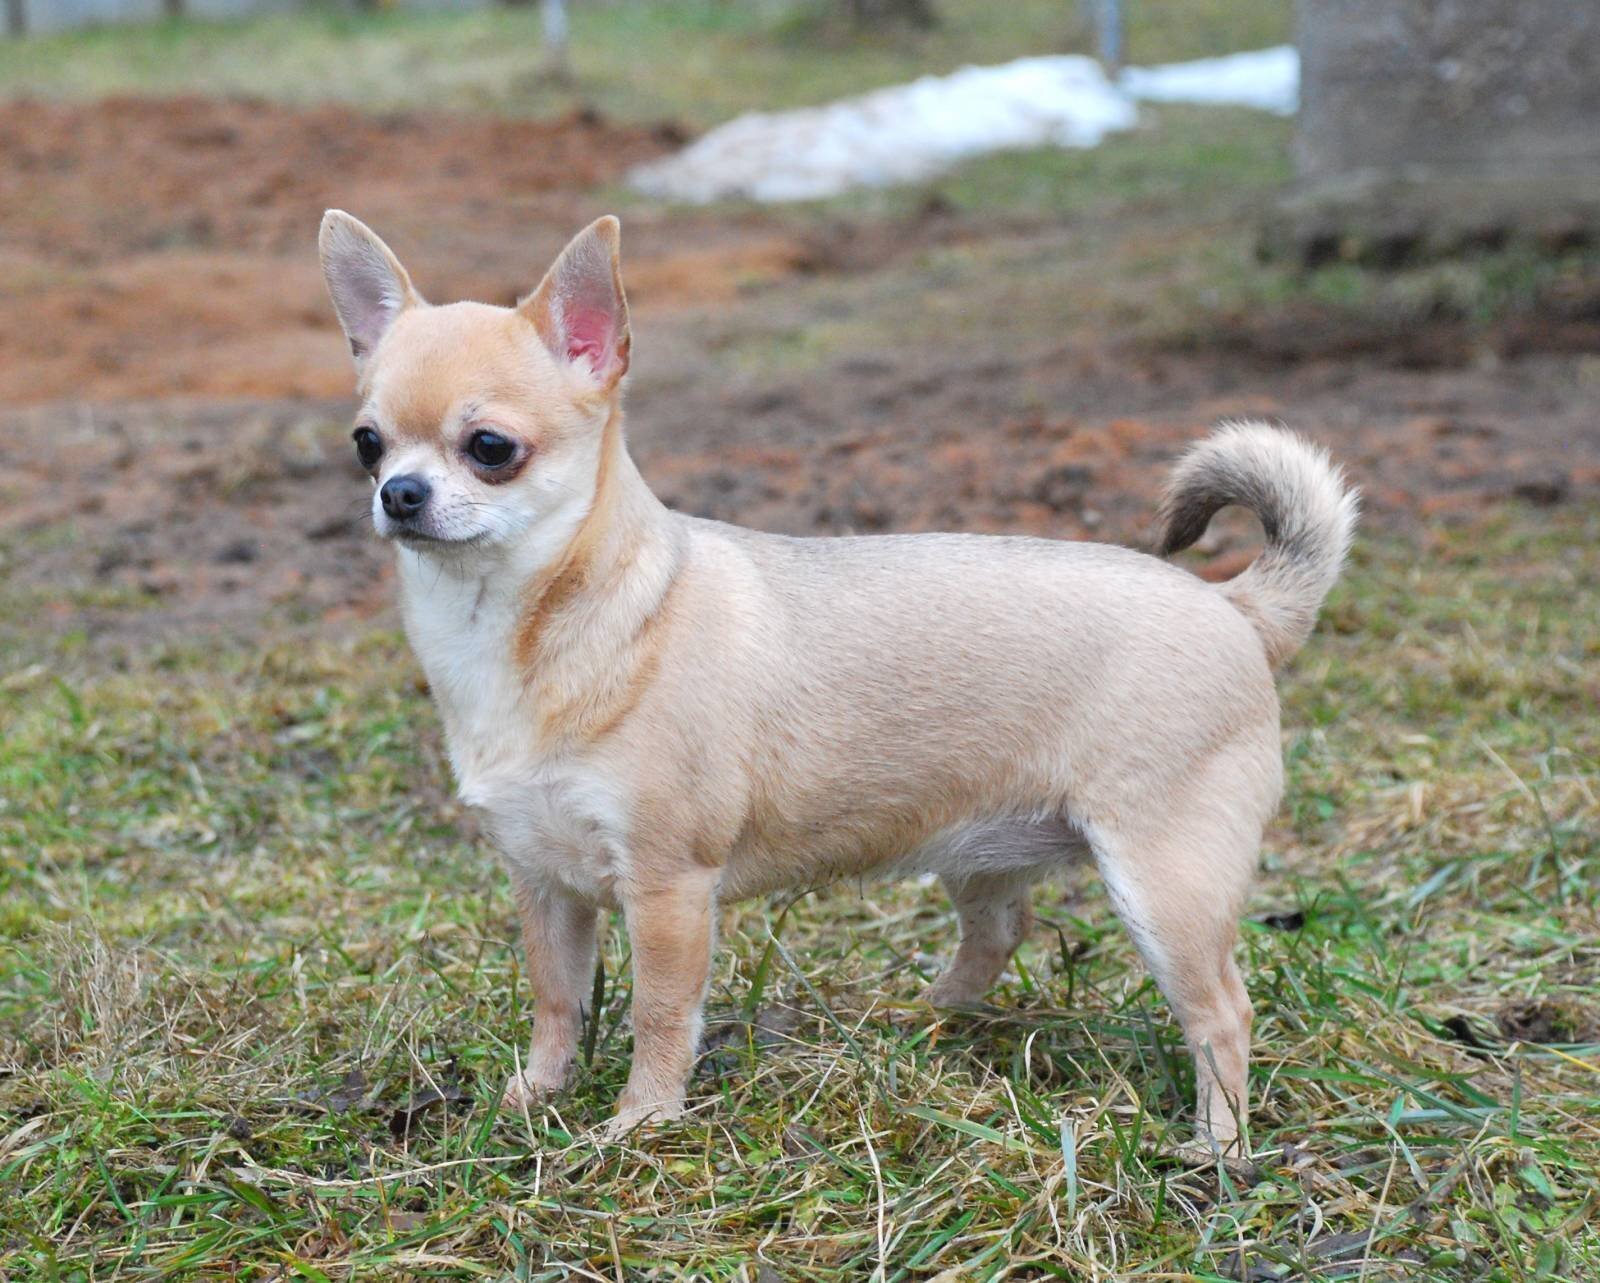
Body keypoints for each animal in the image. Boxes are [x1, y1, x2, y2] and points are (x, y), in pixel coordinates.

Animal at [321, 209, 1350, 1151]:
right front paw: (533, 1097)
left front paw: (639, 1123)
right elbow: (557, 1000)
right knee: (1001, 933)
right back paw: (925, 1016)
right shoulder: (545, 884)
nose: (399, 493)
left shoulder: (666, 889)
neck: (523, 627)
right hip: (984, 855)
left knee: (1222, 1012)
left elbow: (659, 1012)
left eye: (491, 448)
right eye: (367, 443)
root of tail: (1234, 604)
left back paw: (1217, 1147)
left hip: (1164, 886)